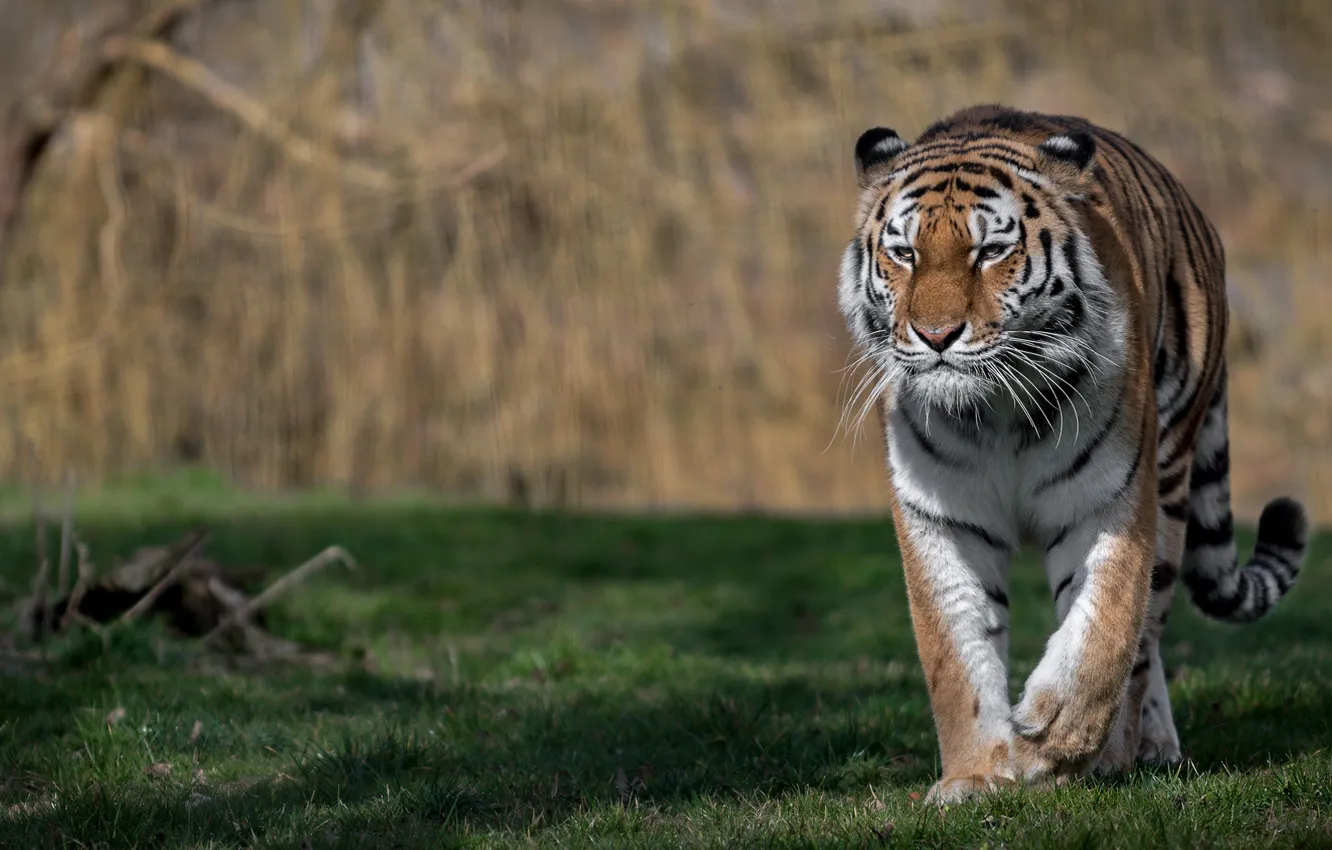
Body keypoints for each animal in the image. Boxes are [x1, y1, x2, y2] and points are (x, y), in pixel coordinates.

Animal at [835, 104, 1309, 804]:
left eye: (991, 251)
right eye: (904, 253)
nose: (935, 335)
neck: (996, 414)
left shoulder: (1110, 500)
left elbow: (1104, 630)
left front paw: (1055, 740)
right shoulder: (939, 515)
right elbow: (954, 649)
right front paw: (973, 775)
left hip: (1171, 475)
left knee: (1147, 638)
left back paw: (1133, 750)